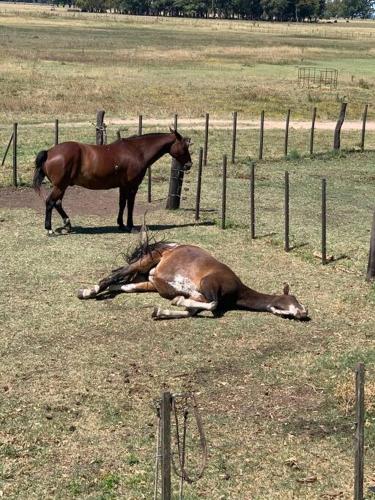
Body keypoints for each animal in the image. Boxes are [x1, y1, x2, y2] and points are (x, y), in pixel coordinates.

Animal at [32, 129, 192, 234]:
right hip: (60, 186)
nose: (189, 165)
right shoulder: (132, 186)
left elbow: (121, 204)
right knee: (50, 202)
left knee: (57, 203)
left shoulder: (123, 186)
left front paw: (120, 224)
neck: (137, 151)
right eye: (184, 147)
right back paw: (49, 229)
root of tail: (49, 152)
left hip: (62, 186)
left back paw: (67, 224)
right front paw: (130, 226)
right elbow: (130, 205)